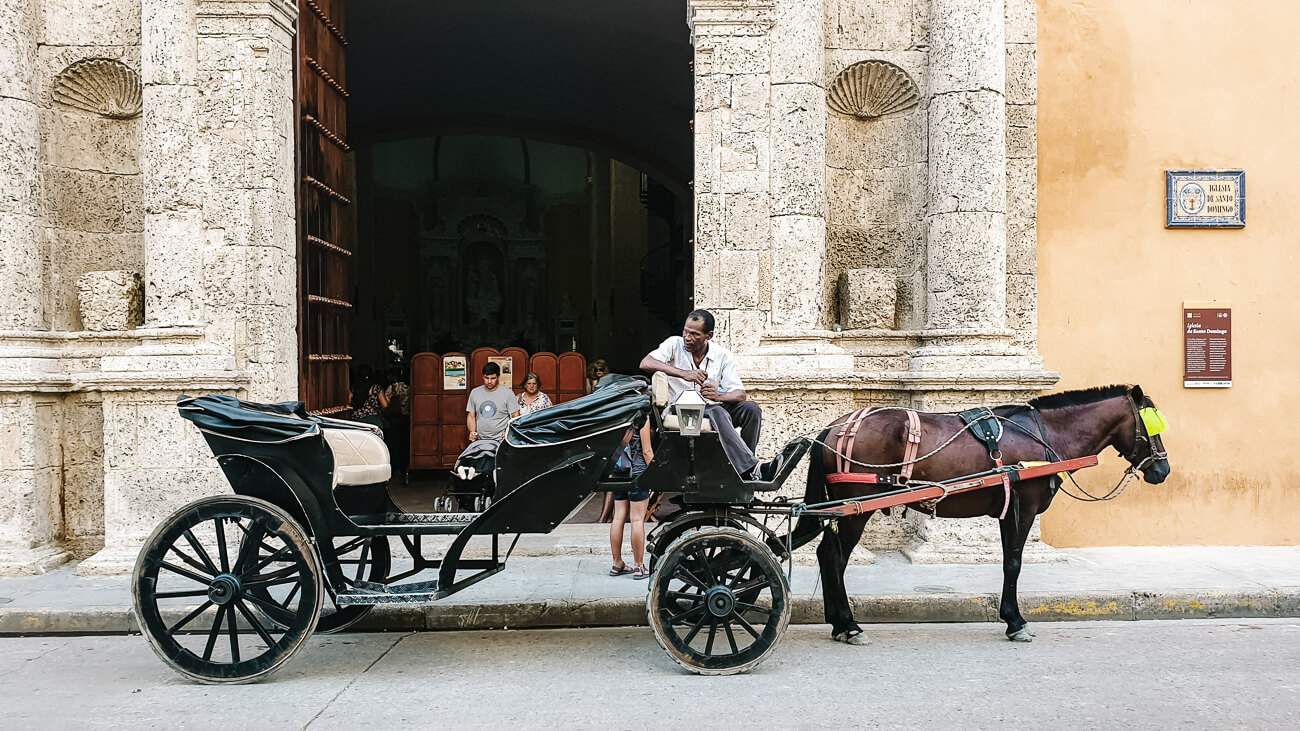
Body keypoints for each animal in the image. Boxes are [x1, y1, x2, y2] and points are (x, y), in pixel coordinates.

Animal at [785, 385, 1175, 639]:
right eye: (1152, 425)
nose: (1163, 469)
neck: (1046, 435)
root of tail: (835, 427)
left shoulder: (1007, 509)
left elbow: (1008, 561)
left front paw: (1011, 617)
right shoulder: (1023, 506)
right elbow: (1014, 563)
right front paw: (1015, 622)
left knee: (827, 554)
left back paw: (839, 623)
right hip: (856, 508)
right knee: (834, 557)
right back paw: (848, 625)